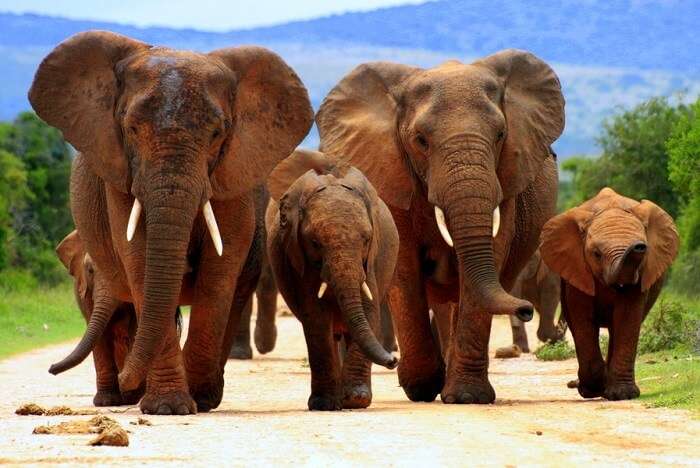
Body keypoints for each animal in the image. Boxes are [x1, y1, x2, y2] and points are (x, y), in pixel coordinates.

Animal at [55, 230, 143, 406]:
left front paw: (130, 394)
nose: (51, 369)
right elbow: (99, 334)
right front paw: (106, 402)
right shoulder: (86, 291)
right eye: (89, 270)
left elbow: (135, 328)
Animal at [266, 149, 400, 410]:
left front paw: (356, 400)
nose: (394, 359)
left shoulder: (371, 261)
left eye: (366, 240)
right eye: (315, 243)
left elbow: (369, 308)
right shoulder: (298, 258)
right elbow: (315, 317)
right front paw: (325, 404)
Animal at [314, 49, 568, 404]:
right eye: (420, 140)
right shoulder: (391, 174)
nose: (525, 309)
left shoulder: (506, 182)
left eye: (501, 135)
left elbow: (489, 256)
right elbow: (404, 265)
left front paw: (466, 397)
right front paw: (421, 387)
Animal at [540, 188, 680, 400]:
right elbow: (582, 319)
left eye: (644, 250)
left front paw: (622, 395)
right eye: (597, 254)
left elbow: (627, 317)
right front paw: (591, 390)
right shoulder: (578, 268)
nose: (639, 246)